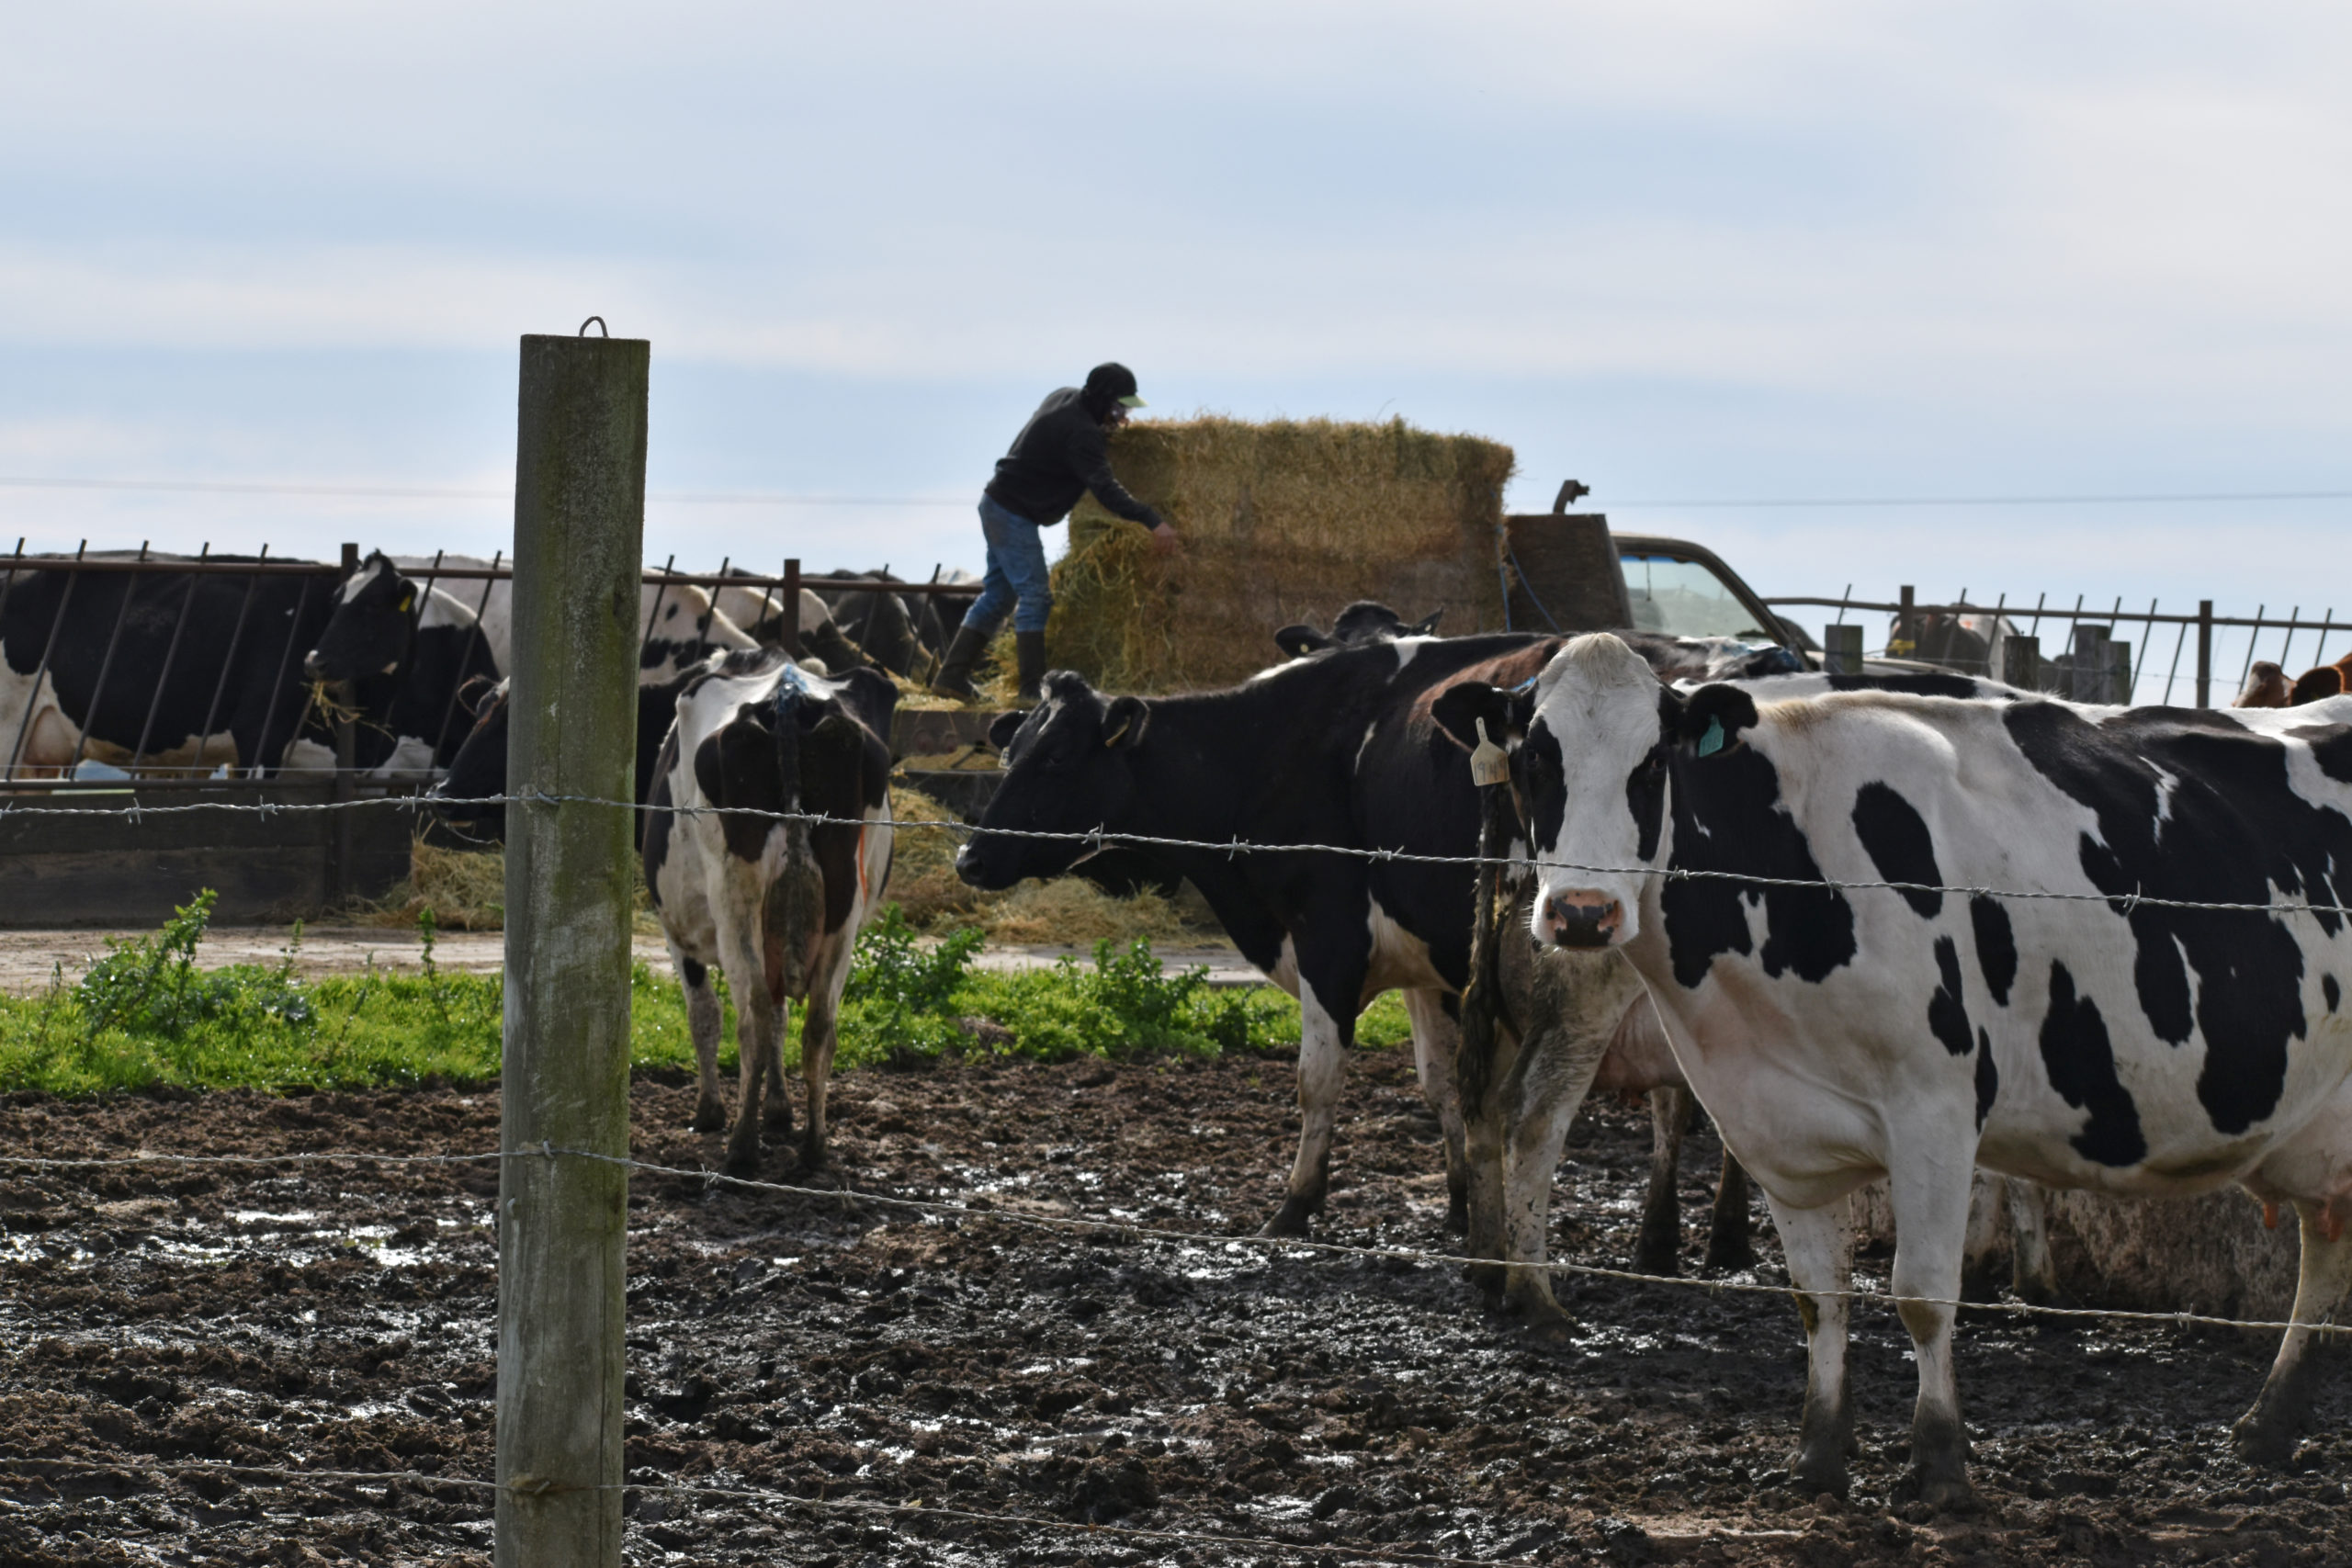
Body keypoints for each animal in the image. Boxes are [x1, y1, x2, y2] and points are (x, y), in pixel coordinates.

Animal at [643, 650, 897, 1173]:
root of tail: (787, 694)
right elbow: (782, 1017)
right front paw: (779, 1109)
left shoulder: (677, 936)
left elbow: (705, 1015)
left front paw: (711, 1112)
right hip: (844, 900)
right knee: (819, 1023)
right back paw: (814, 1149)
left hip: (735, 897)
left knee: (753, 1015)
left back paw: (741, 1146)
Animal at [1440, 631, 2352, 1502]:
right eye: (1535, 758)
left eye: (1653, 761)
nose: (1582, 914)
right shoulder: (1775, 1121)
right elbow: (1817, 1293)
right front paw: (1819, 1455)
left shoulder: (1936, 1106)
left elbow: (1920, 1291)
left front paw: (1941, 1462)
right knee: (2326, 1242)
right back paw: (2268, 1424)